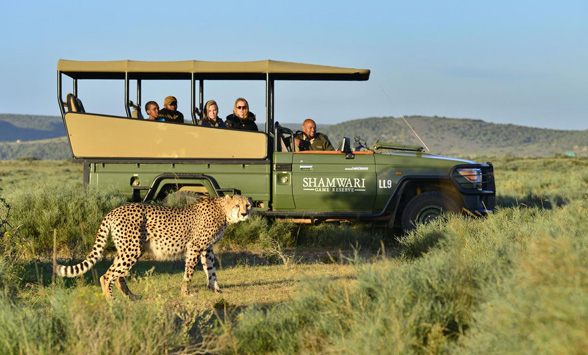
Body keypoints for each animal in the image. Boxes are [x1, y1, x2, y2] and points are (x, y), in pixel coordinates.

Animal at [52, 195, 250, 300]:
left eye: (247, 204)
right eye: (237, 205)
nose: (244, 213)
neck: (224, 211)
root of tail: (114, 210)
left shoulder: (207, 249)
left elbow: (211, 270)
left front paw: (216, 290)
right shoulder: (195, 247)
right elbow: (189, 272)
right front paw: (186, 293)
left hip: (127, 249)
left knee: (117, 273)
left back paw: (131, 296)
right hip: (132, 249)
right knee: (107, 275)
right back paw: (110, 300)